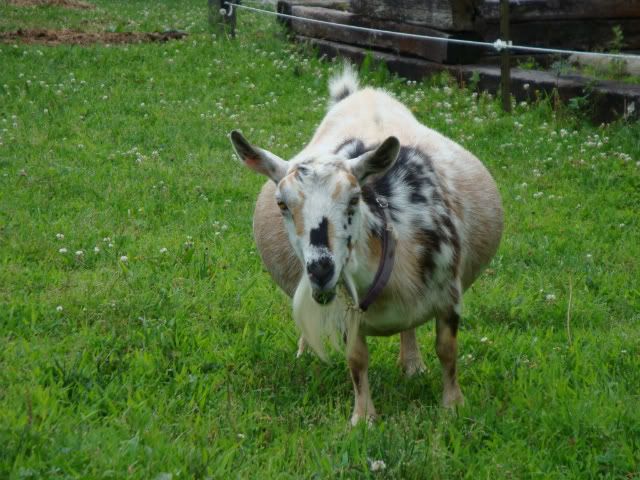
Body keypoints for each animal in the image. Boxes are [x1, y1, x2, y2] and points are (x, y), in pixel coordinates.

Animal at [231, 65, 503, 425]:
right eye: (282, 204)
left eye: (354, 198)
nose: (321, 270)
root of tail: (362, 95)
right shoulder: (346, 310)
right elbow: (357, 359)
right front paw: (364, 418)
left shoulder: (449, 294)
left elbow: (447, 350)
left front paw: (453, 406)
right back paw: (307, 351)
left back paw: (412, 365)